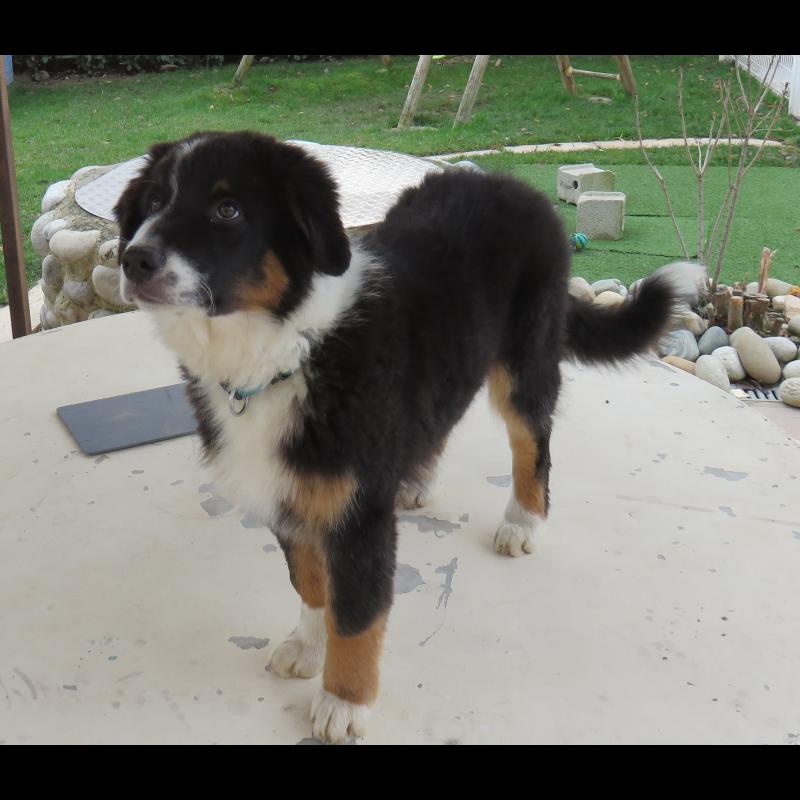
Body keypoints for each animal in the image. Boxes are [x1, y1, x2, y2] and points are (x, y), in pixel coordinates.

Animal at [114, 130, 704, 743]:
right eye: (153, 202)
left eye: (227, 210)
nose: (134, 259)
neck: (287, 352)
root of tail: (511, 184)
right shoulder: (290, 490)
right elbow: (310, 582)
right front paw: (308, 647)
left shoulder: (356, 515)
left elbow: (356, 614)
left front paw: (343, 703)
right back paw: (414, 479)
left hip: (526, 360)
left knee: (531, 443)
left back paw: (523, 520)